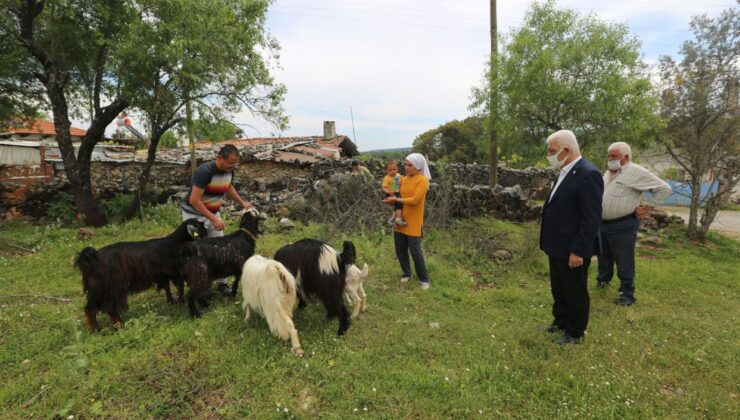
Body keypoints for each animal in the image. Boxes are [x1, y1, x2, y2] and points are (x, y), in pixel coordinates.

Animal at [74, 218, 207, 330]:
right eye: (201, 228)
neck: (174, 243)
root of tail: (91, 259)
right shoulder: (176, 272)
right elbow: (179, 288)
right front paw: (181, 302)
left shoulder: (163, 275)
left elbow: (167, 287)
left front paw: (171, 302)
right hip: (114, 287)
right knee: (110, 309)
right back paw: (122, 325)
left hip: (97, 289)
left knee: (90, 309)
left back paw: (96, 329)